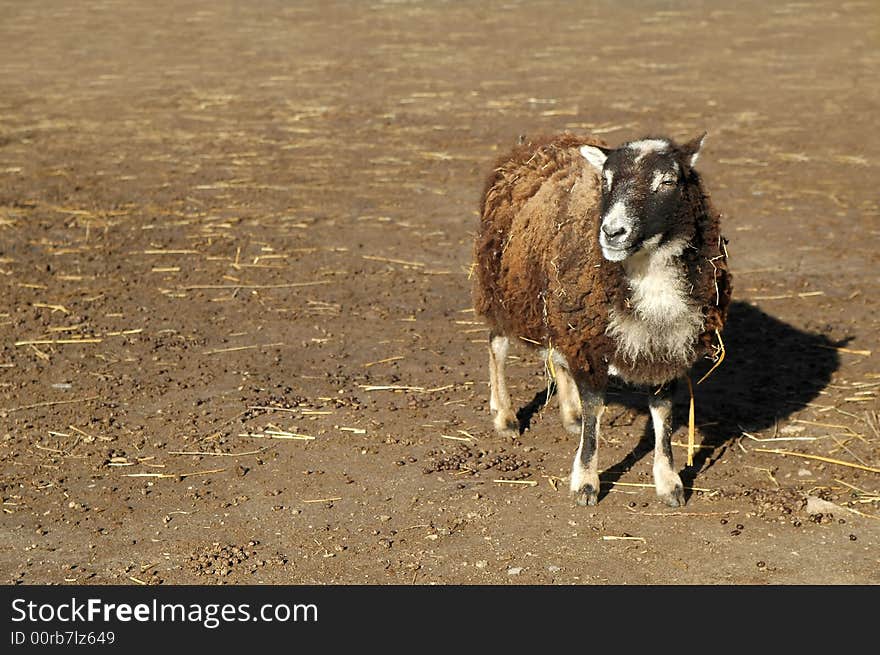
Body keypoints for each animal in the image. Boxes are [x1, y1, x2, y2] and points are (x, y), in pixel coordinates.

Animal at [470, 129, 732, 508]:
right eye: (605, 181)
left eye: (668, 181)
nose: (612, 232)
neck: (648, 273)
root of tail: (540, 140)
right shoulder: (591, 344)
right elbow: (595, 410)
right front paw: (586, 482)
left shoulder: (665, 345)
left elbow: (663, 414)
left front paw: (669, 482)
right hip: (504, 288)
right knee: (497, 346)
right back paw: (504, 417)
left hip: (560, 309)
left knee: (558, 357)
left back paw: (570, 414)